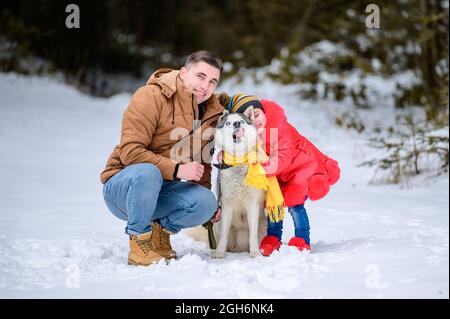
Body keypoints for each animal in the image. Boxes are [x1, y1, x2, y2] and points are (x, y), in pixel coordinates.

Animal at [212, 108, 268, 260]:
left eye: (242, 121)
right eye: (228, 123)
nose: (237, 123)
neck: (238, 162)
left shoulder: (252, 205)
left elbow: (253, 235)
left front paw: (255, 253)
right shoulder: (227, 205)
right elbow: (223, 236)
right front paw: (219, 253)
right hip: (217, 222)